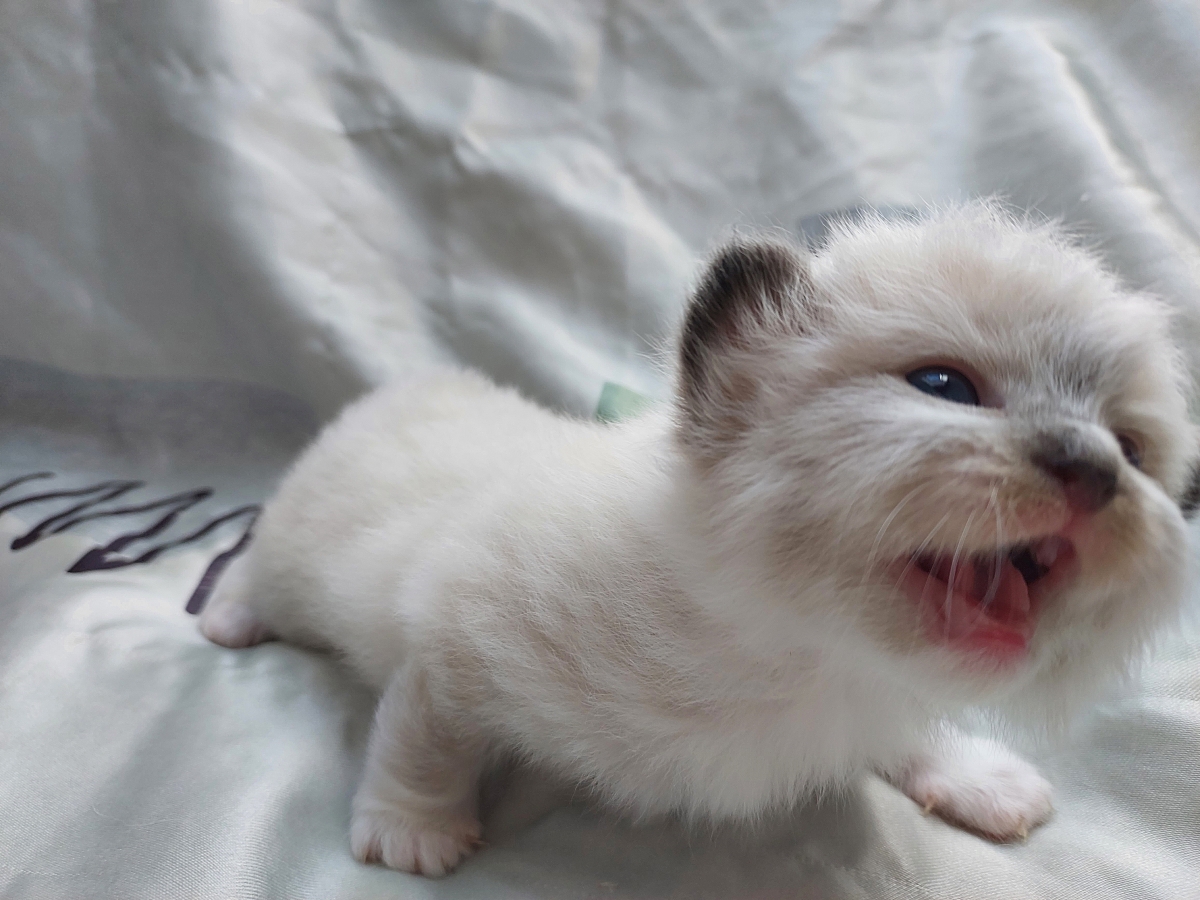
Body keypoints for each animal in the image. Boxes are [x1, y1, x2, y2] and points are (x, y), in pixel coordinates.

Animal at [200, 202, 1198, 876]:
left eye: (1132, 451)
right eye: (945, 387)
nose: (1096, 474)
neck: (797, 653)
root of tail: (420, 384)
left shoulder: (874, 694)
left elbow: (919, 733)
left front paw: (985, 779)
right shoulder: (453, 636)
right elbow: (424, 735)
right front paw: (415, 833)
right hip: (296, 547)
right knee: (254, 565)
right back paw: (227, 622)